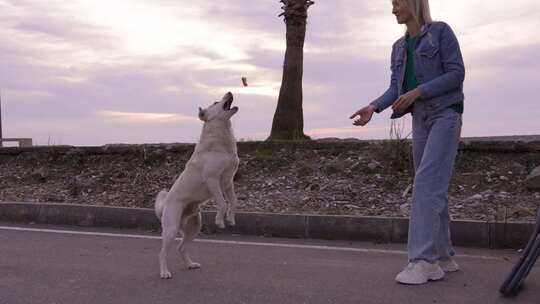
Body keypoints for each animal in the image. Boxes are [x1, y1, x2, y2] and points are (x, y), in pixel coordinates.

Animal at [154, 91, 238, 280]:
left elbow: (233, 202)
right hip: (171, 229)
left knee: (181, 247)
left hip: (194, 227)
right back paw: (164, 272)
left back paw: (190, 264)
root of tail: (165, 205)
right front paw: (220, 221)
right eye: (215, 102)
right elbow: (222, 203)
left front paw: (230, 219)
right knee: (162, 252)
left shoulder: (228, 183)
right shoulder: (213, 180)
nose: (230, 92)